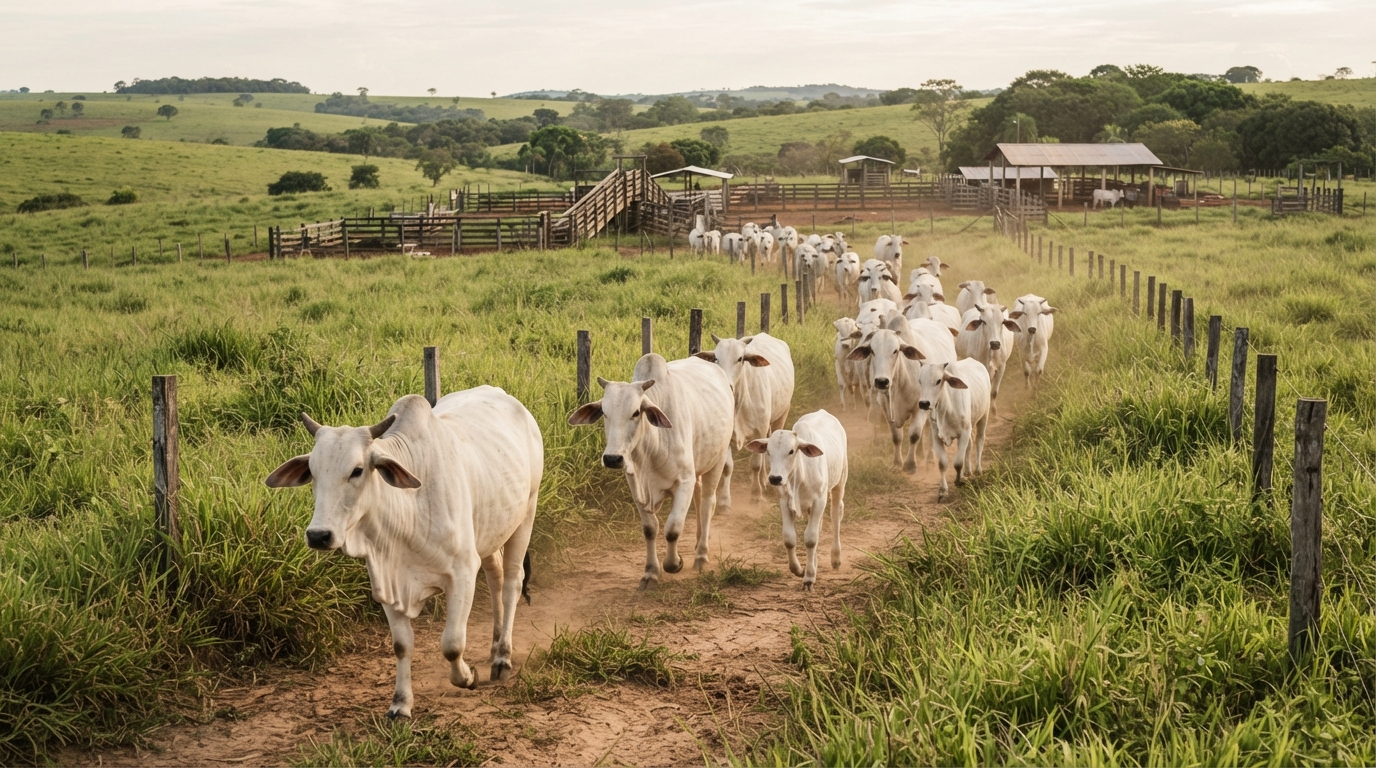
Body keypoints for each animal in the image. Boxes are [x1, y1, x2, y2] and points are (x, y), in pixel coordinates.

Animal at [264, 388, 543, 718]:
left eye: (357, 470)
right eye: (313, 473)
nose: (319, 535)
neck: (408, 509)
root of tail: (503, 395)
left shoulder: (462, 572)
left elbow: (452, 643)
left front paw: (467, 677)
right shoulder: (386, 578)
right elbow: (401, 645)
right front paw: (400, 704)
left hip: (526, 512)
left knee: (512, 582)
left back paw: (502, 658)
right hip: (490, 530)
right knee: (496, 577)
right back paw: (495, 645)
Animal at [567, 354, 734, 588]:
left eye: (636, 412)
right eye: (605, 414)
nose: (612, 458)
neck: (651, 448)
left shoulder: (684, 481)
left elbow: (673, 528)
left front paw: (674, 563)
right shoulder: (635, 484)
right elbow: (650, 529)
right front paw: (650, 572)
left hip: (717, 460)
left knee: (707, 504)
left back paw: (701, 555)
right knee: (700, 499)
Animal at [694, 333, 795, 497]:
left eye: (740, 358)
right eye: (716, 358)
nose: (727, 385)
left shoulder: (759, 430)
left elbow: (755, 464)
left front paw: (756, 494)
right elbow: (727, 467)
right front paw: (724, 499)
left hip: (782, 413)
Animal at [746, 410, 848, 591]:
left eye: (791, 451)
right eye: (768, 451)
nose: (775, 478)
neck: (800, 475)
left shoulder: (819, 501)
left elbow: (811, 539)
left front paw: (808, 578)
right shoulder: (785, 502)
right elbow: (789, 538)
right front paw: (799, 570)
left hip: (840, 481)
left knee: (836, 514)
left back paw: (835, 558)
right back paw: (814, 563)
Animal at [916, 359, 991, 500]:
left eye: (938, 380)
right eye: (920, 380)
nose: (924, 403)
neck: (946, 408)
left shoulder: (964, 433)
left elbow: (957, 462)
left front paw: (959, 481)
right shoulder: (936, 435)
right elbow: (943, 463)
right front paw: (942, 490)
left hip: (984, 416)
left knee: (979, 440)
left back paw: (977, 469)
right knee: (970, 445)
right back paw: (967, 471)